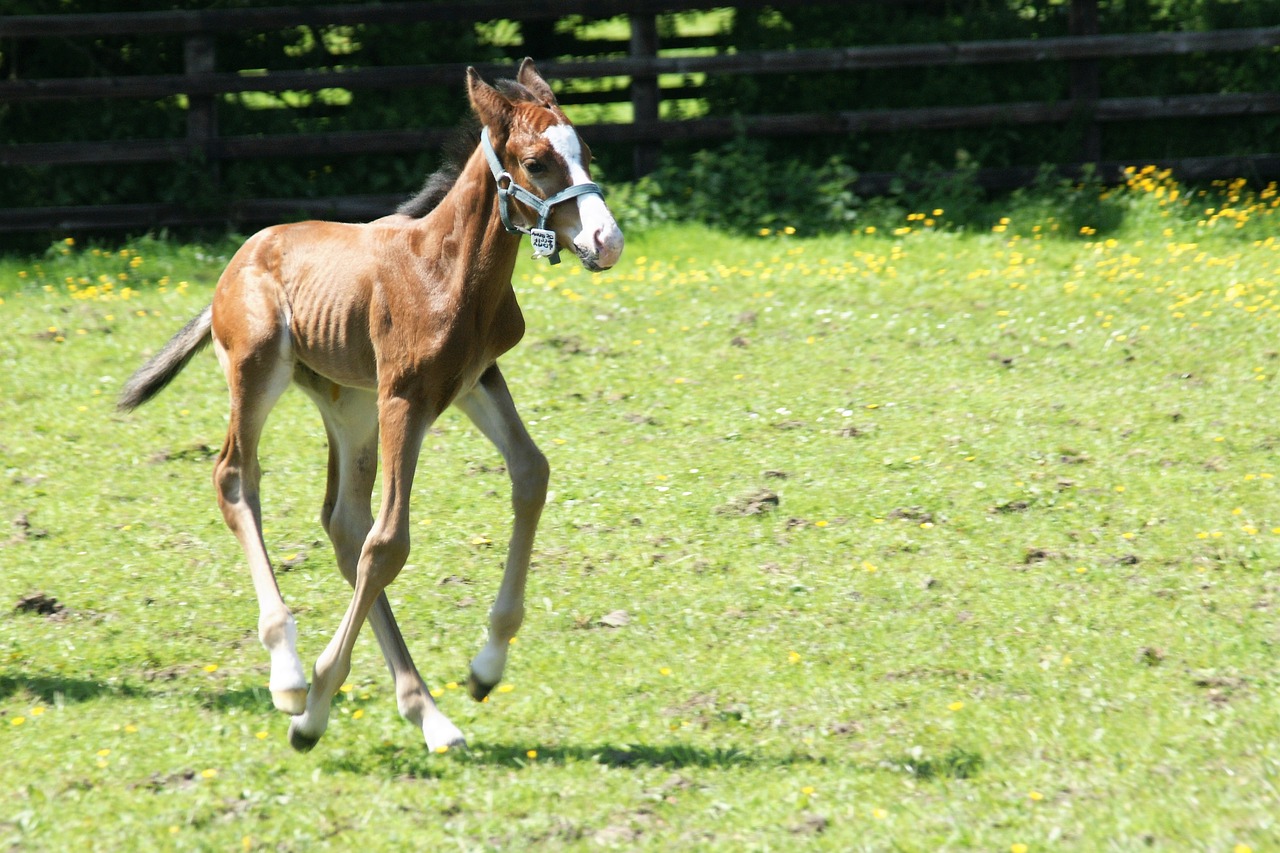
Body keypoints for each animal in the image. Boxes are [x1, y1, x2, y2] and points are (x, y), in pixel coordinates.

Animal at [119, 61, 624, 753]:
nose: (607, 240)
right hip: (259, 370)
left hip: (351, 405)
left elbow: (530, 473)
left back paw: (430, 716)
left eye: (587, 154)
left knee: (343, 523)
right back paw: (290, 676)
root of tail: (236, 260)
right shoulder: (404, 396)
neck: (446, 271)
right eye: (537, 162)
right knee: (237, 478)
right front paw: (313, 711)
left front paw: (486, 667)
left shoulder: (474, 380)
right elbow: (390, 543)